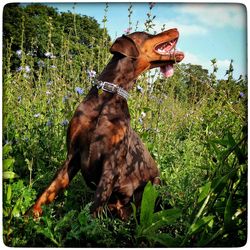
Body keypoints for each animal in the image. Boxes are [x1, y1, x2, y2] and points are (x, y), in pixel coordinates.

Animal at [28, 28, 184, 219]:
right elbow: (49, 190)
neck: (109, 97)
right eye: (147, 34)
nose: (176, 28)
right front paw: (29, 215)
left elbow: (96, 204)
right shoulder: (72, 154)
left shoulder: (112, 162)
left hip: (155, 183)